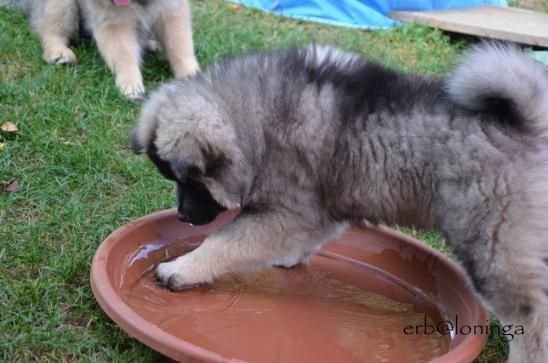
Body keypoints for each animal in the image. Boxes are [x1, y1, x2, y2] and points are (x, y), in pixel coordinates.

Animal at [1, 0, 199, 99]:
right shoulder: (113, 21)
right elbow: (124, 56)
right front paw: (130, 83)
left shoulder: (172, 11)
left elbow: (180, 46)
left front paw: (190, 74)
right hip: (61, 6)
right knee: (50, 32)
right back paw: (59, 53)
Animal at [130, 42, 548, 362]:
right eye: (174, 180)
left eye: (192, 182)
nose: (183, 216)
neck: (258, 118)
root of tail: (528, 124)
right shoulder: (320, 210)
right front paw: (288, 257)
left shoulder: (285, 211)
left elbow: (224, 241)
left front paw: (180, 269)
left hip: (490, 243)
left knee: (533, 317)